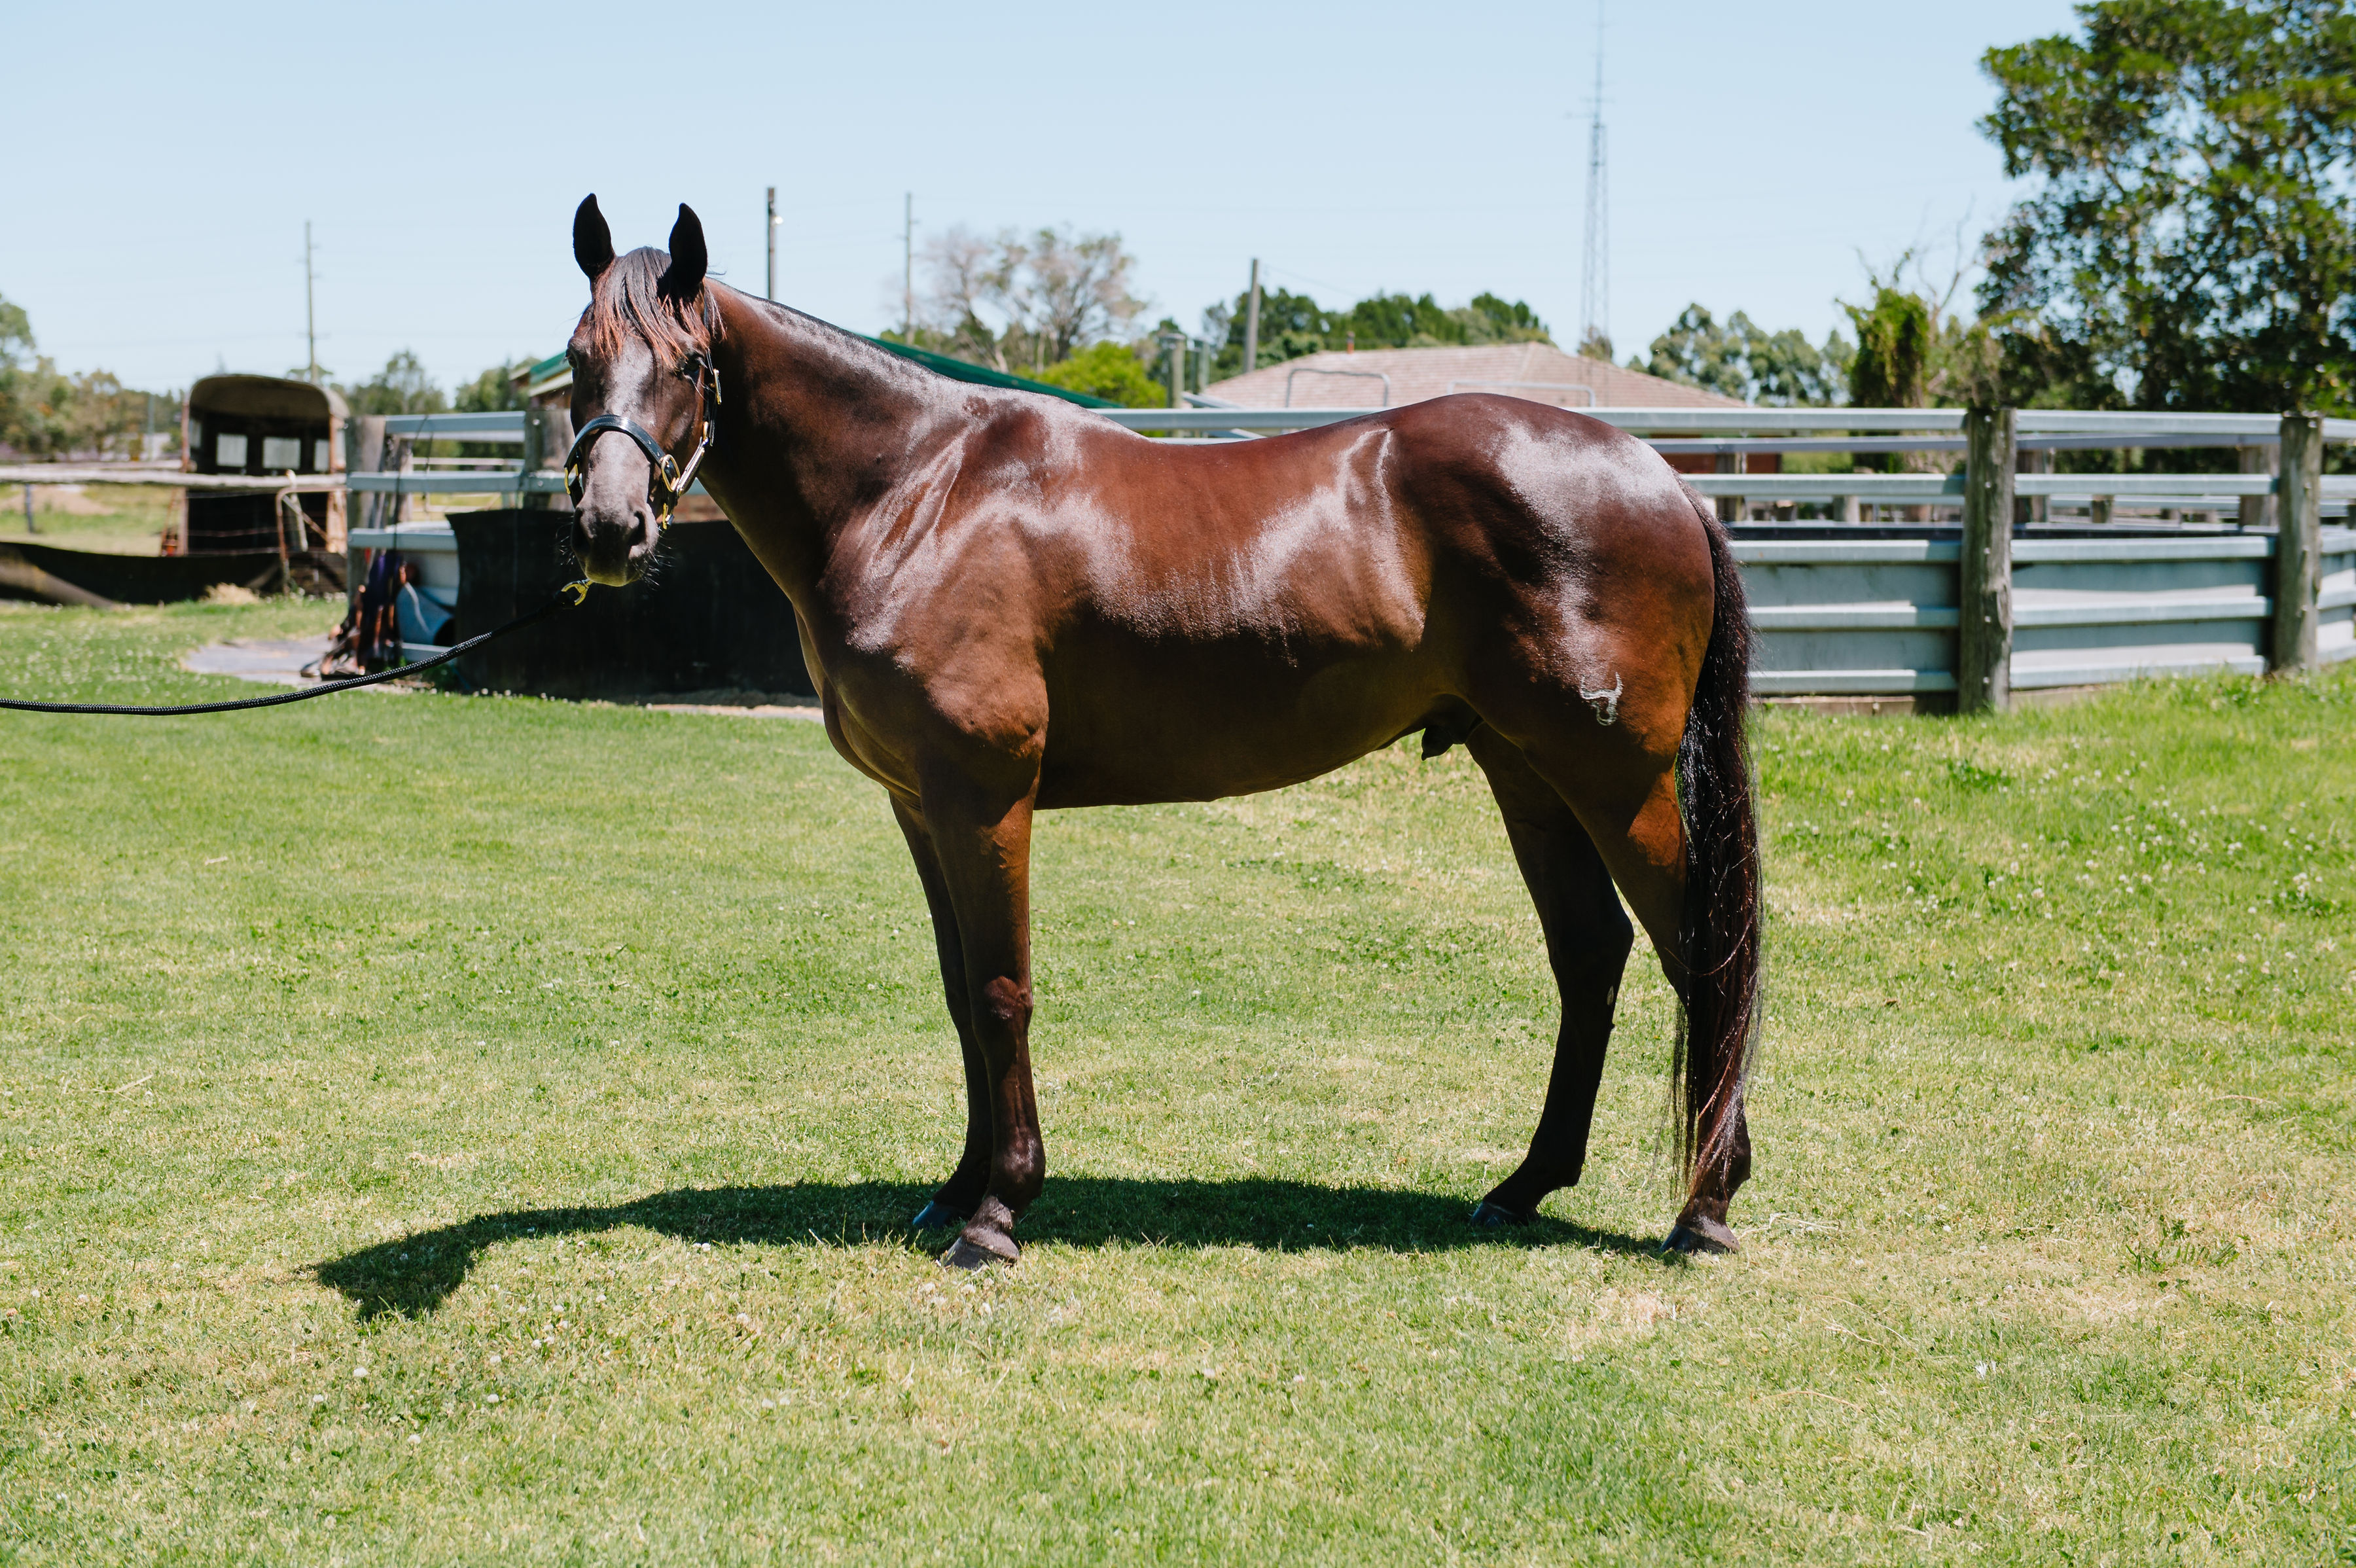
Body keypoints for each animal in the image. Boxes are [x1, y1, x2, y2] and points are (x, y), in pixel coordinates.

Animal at [559, 197, 1761, 1268]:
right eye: (577, 359)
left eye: (688, 365)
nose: (612, 530)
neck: (919, 491)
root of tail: (1667, 481)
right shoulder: (920, 807)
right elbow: (959, 994)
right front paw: (956, 1188)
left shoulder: (984, 798)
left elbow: (1001, 994)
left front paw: (998, 1214)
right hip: (1528, 773)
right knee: (1590, 955)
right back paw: (1525, 1186)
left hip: (1617, 781)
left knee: (1697, 952)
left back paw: (1702, 1210)